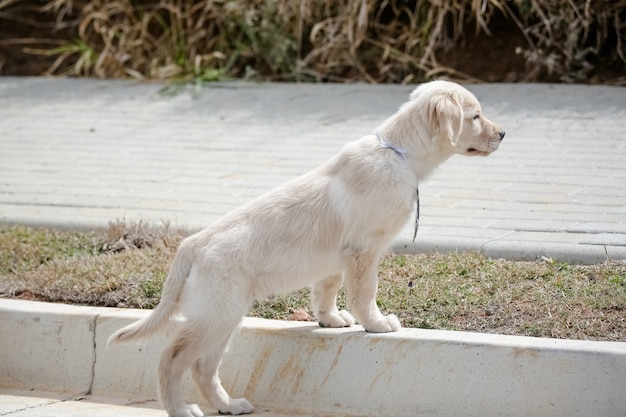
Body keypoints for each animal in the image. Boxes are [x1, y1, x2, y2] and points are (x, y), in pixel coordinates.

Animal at [108, 79, 502, 414]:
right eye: (475, 116)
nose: (503, 133)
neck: (399, 153)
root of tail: (191, 244)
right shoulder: (363, 250)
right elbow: (365, 293)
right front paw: (376, 323)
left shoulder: (337, 256)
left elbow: (327, 288)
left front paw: (330, 319)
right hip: (218, 312)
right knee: (172, 358)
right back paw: (180, 409)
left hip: (223, 316)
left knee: (203, 367)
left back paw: (228, 405)